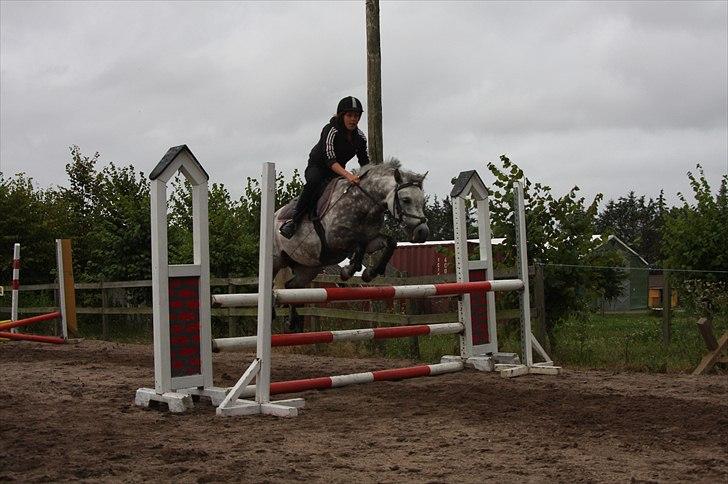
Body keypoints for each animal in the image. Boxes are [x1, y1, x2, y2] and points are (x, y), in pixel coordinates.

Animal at [274, 164, 432, 330]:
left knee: (291, 287)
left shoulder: (371, 240)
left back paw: (292, 322)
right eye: (406, 200)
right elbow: (359, 244)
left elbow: (390, 242)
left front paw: (370, 273)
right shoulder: (334, 241)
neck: (362, 205)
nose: (423, 232)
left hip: (308, 268)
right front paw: (348, 271)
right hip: (277, 260)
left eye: (422, 201)